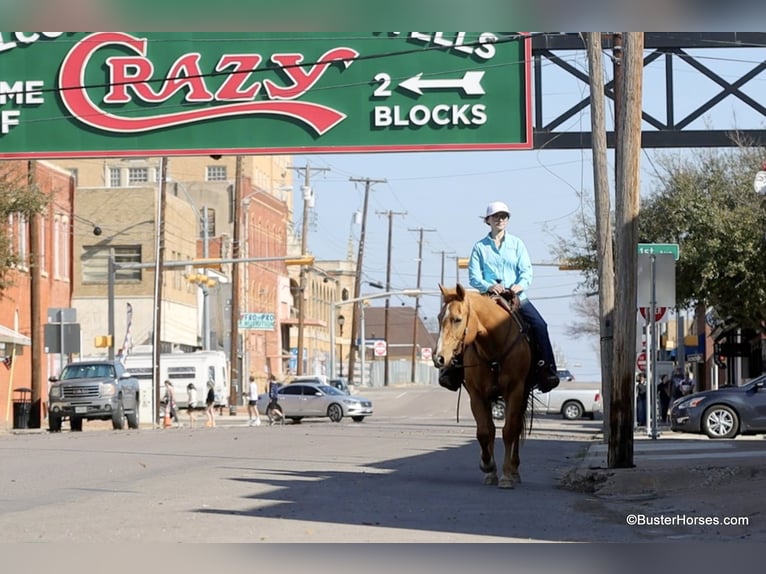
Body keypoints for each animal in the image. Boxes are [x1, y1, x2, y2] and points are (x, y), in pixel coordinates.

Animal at [432, 286, 536, 488]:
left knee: (516, 427)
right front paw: (488, 467)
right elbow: (484, 432)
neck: (494, 346)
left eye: (457, 319)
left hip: (523, 395)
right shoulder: (477, 395)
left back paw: (514, 470)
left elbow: (509, 431)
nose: (439, 357)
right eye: (439, 318)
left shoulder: (515, 391)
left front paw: (506, 475)